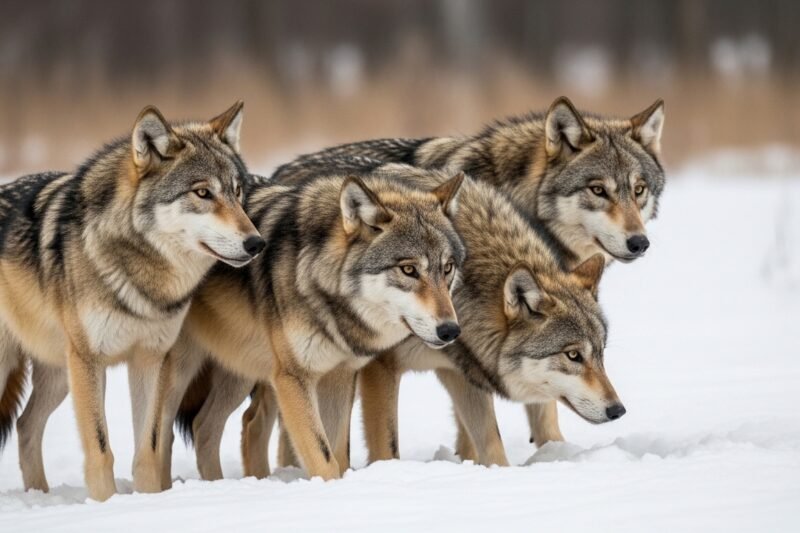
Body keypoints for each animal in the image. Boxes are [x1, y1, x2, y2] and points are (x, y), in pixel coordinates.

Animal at [0, 102, 264, 501]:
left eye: (237, 192)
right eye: (202, 193)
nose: (256, 243)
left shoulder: (150, 359)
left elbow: (148, 449)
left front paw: (148, 499)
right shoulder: (90, 361)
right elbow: (100, 450)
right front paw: (107, 504)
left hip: (59, 373)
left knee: (27, 425)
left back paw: (41, 496)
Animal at [158, 166, 466, 481]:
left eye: (447, 268)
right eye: (408, 270)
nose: (450, 330)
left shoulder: (339, 375)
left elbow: (339, 455)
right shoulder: (293, 378)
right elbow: (324, 458)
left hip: (240, 369)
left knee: (207, 426)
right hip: (180, 370)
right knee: (161, 438)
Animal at [273, 96, 664, 448]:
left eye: (639, 190)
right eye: (598, 190)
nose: (639, 242)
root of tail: (282, 170)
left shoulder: (462, 369)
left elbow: (509, 428)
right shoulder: (381, 368)